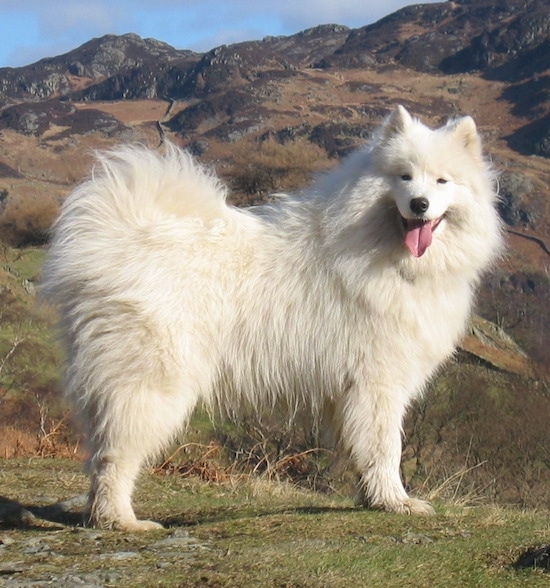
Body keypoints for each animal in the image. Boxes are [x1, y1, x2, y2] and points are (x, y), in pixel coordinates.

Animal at [41, 107, 502, 532]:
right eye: (404, 177)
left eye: (442, 181)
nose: (419, 204)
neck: (382, 249)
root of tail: (115, 237)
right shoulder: (377, 381)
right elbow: (385, 447)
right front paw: (396, 501)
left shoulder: (348, 393)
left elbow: (361, 450)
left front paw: (371, 498)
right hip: (151, 381)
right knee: (115, 455)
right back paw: (120, 520)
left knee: (98, 449)